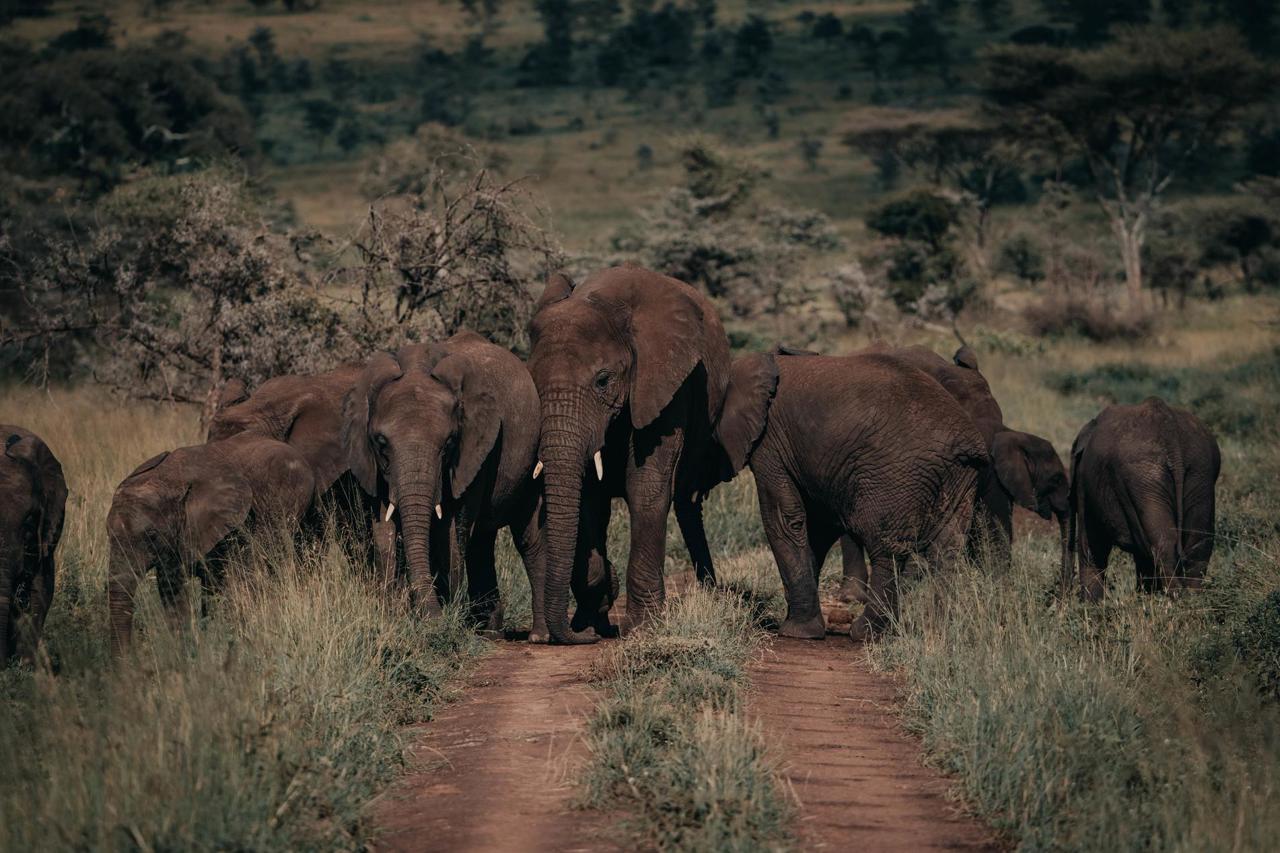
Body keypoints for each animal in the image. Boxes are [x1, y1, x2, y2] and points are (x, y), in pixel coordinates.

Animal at [106, 432, 315, 656]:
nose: (127, 661)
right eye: (107, 533)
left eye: (152, 535)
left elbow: (236, 581)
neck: (167, 478)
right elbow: (171, 589)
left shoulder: (234, 526)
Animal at [342, 331, 545, 636]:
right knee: (481, 540)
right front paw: (393, 618)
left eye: (449, 443)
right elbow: (384, 529)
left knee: (526, 538)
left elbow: (451, 529)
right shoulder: (375, 467)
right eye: (381, 442)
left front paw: (444, 622)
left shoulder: (476, 451)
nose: (431, 621)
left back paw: (536, 633)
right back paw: (488, 630)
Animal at [528, 265, 731, 644]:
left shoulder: (664, 380)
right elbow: (588, 494)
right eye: (531, 381)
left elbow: (646, 486)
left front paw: (644, 628)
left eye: (603, 381)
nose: (581, 638)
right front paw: (597, 608)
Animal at [715, 349, 988, 641]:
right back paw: (936, 632)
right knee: (946, 553)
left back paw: (866, 632)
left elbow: (784, 519)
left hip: (898, 476)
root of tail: (963, 443)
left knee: (888, 551)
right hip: (960, 478)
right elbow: (818, 528)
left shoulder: (770, 446)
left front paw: (794, 632)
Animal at [1066, 397, 1220, 601]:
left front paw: (1092, 605)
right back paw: (1191, 601)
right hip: (1198, 472)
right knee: (1197, 544)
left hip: (1144, 477)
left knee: (1162, 546)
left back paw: (1174, 600)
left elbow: (1092, 542)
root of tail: (1170, 432)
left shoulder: (1085, 485)